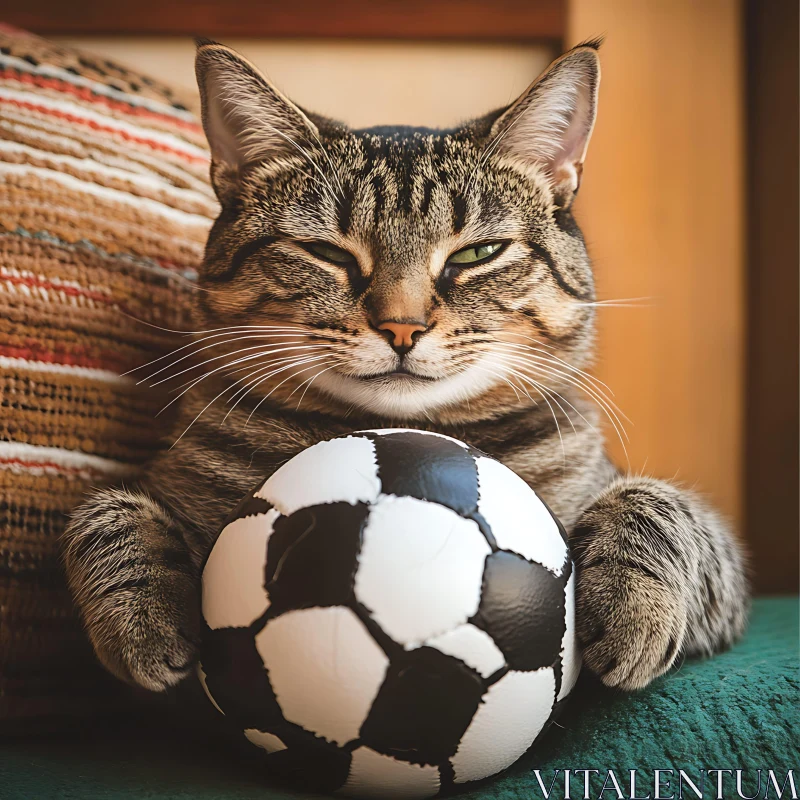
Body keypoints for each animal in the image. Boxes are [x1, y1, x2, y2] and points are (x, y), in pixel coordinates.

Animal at [62, 40, 752, 696]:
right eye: (326, 252)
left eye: (477, 253)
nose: (402, 325)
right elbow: (105, 515)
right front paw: (143, 620)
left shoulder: (723, 580)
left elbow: (657, 504)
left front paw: (635, 608)